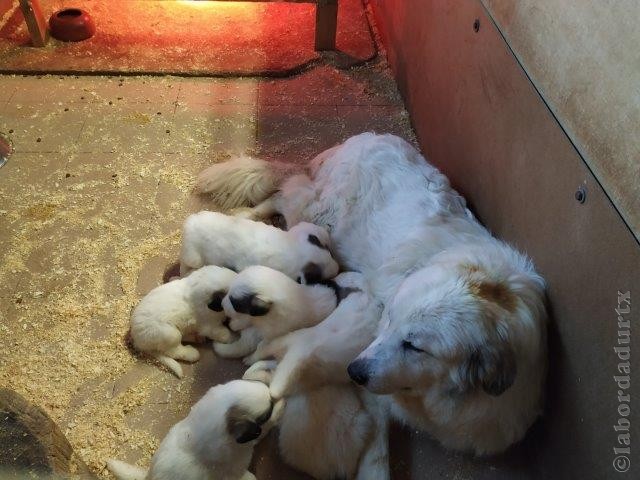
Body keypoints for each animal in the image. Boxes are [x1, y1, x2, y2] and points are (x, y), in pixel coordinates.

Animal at [107, 378, 282, 480]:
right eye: (265, 414)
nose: (273, 396)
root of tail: (148, 476)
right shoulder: (241, 459)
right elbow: (266, 427)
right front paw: (281, 405)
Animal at [178, 210, 338, 282]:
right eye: (319, 277)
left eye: (330, 254)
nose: (338, 269)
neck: (296, 253)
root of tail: (189, 222)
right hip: (193, 258)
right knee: (185, 266)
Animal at [198, 133, 548, 460]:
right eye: (389, 320)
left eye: (415, 346)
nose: (354, 372)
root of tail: (359, 140)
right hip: (320, 214)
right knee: (284, 192)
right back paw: (248, 214)